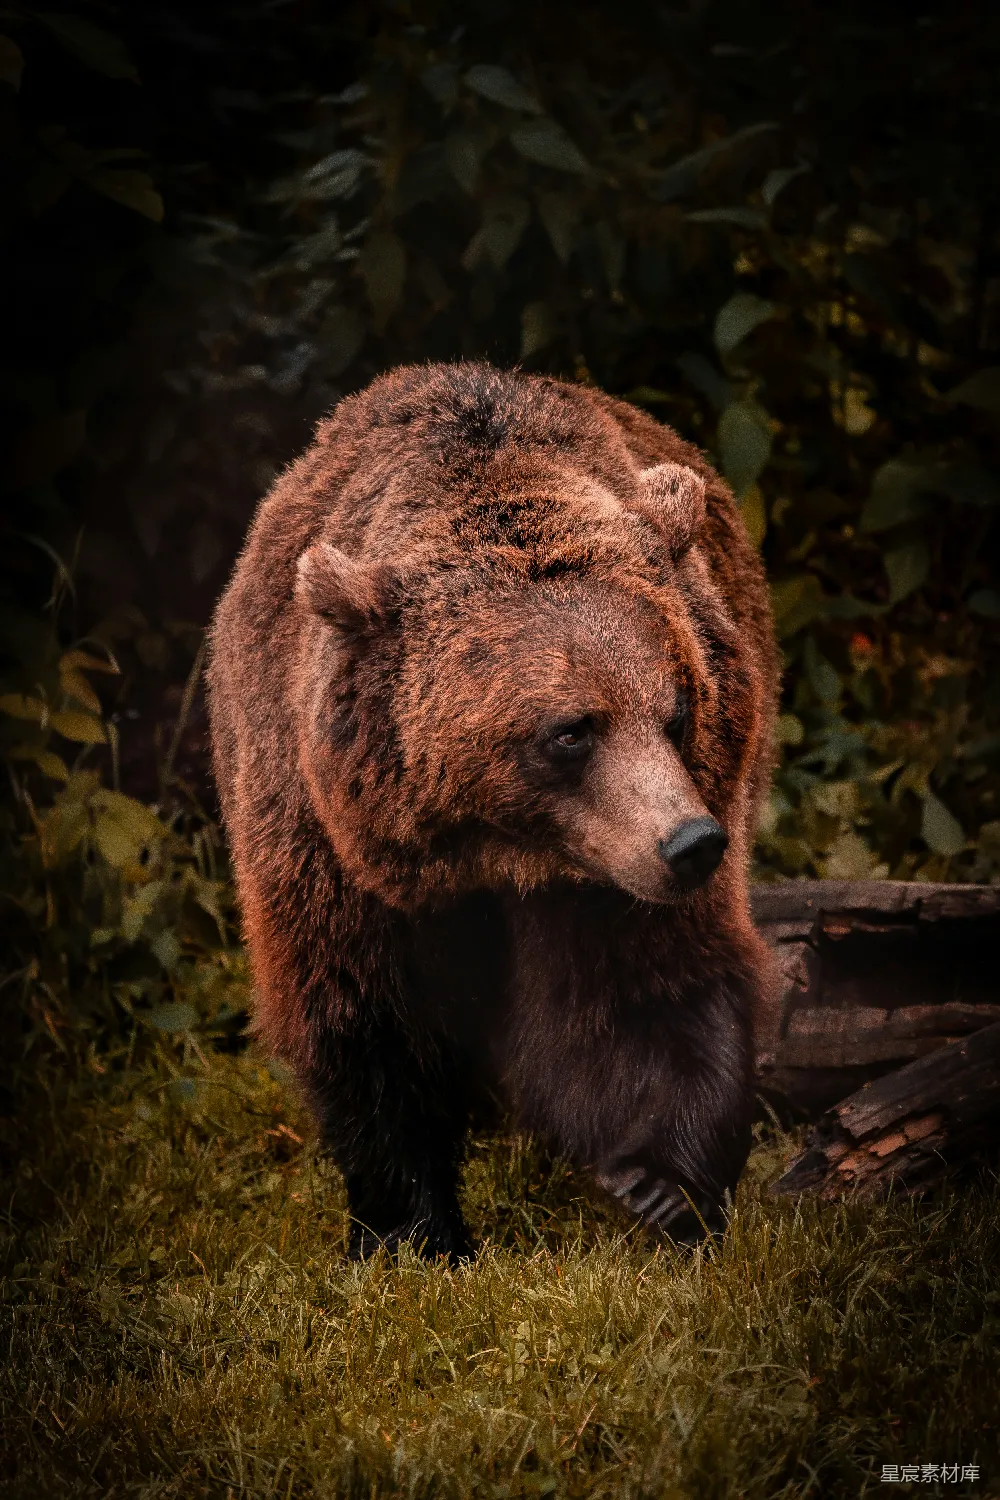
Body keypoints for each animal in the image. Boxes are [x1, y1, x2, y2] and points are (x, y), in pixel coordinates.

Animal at [207, 361, 779, 1259]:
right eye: (571, 730)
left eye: (677, 707)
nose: (692, 843)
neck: (496, 854)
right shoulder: (326, 842)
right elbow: (367, 1021)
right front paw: (413, 1230)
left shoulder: (613, 869)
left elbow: (648, 989)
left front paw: (661, 1185)